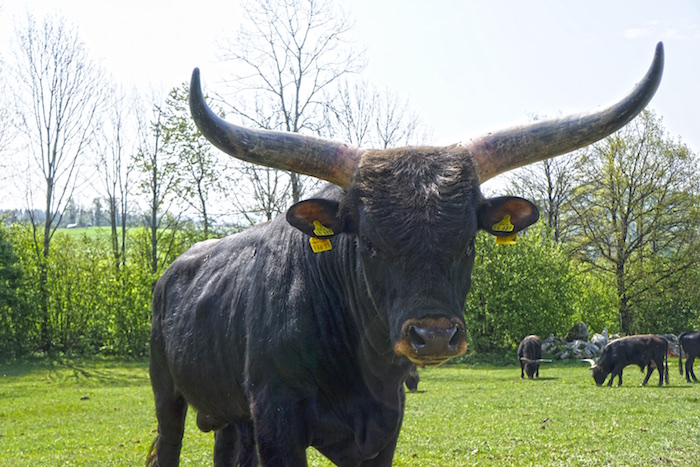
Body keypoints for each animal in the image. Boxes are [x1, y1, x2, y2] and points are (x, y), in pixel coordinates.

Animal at [146, 42, 660, 466]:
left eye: (468, 241)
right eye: (370, 243)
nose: (433, 337)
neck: (361, 368)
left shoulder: (384, 426)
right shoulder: (277, 421)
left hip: (231, 416)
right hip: (166, 392)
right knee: (169, 442)